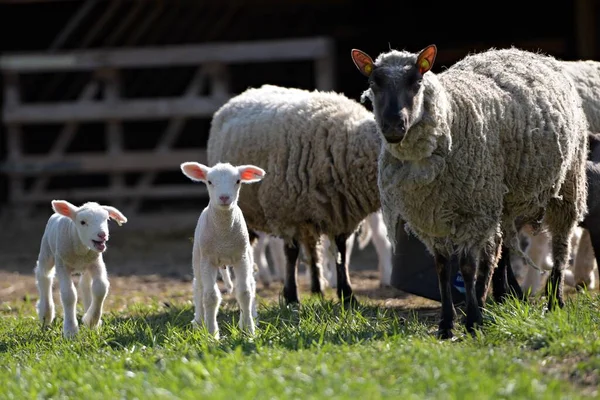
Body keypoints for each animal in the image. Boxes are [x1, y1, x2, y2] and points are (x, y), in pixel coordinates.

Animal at [34, 200, 127, 338]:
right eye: (83, 222)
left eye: (106, 219)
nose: (102, 235)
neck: (81, 250)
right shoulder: (62, 265)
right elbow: (69, 295)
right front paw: (70, 330)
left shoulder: (96, 262)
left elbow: (101, 287)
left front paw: (91, 321)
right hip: (47, 251)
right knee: (44, 275)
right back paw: (46, 314)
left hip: (86, 266)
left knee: (85, 285)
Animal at [180, 159, 264, 338]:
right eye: (209, 182)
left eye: (238, 181)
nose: (224, 197)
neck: (224, 237)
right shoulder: (208, 260)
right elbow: (210, 296)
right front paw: (212, 334)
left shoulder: (241, 258)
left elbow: (244, 293)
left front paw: (249, 330)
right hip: (198, 257)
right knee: (199, 287)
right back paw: (199, 322)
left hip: (247, 254)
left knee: (251, 284)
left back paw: (251, 317)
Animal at [206, 83, 380, 304]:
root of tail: (248, 91)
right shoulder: (287, 212)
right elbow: (291, 253)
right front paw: (291, 296)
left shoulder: (341, 214)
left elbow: (340, 252)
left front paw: (347, 295)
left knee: (312, 249)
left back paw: (317, 287)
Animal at [350, 43, 588, 338]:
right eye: (374, 83)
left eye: (417, 82)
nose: (394, 126)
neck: (450, 117)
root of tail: (530, 53)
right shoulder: (431, 219)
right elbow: (443, 269)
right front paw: (447, 324)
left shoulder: (472, 212)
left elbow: (466, 267)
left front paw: (472, 321)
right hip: (499, 200)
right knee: (496, 252)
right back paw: (495, 299)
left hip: (568, 182)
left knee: (561, 245)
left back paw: (555, 302)